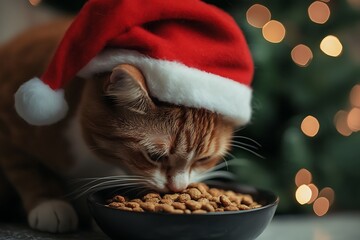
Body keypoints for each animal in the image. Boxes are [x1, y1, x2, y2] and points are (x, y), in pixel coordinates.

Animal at [0, 18, 233, 232]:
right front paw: (50, 203)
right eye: (155, 156)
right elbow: (28, 170)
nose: (178, 189)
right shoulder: (8, 122)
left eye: (203, 159)